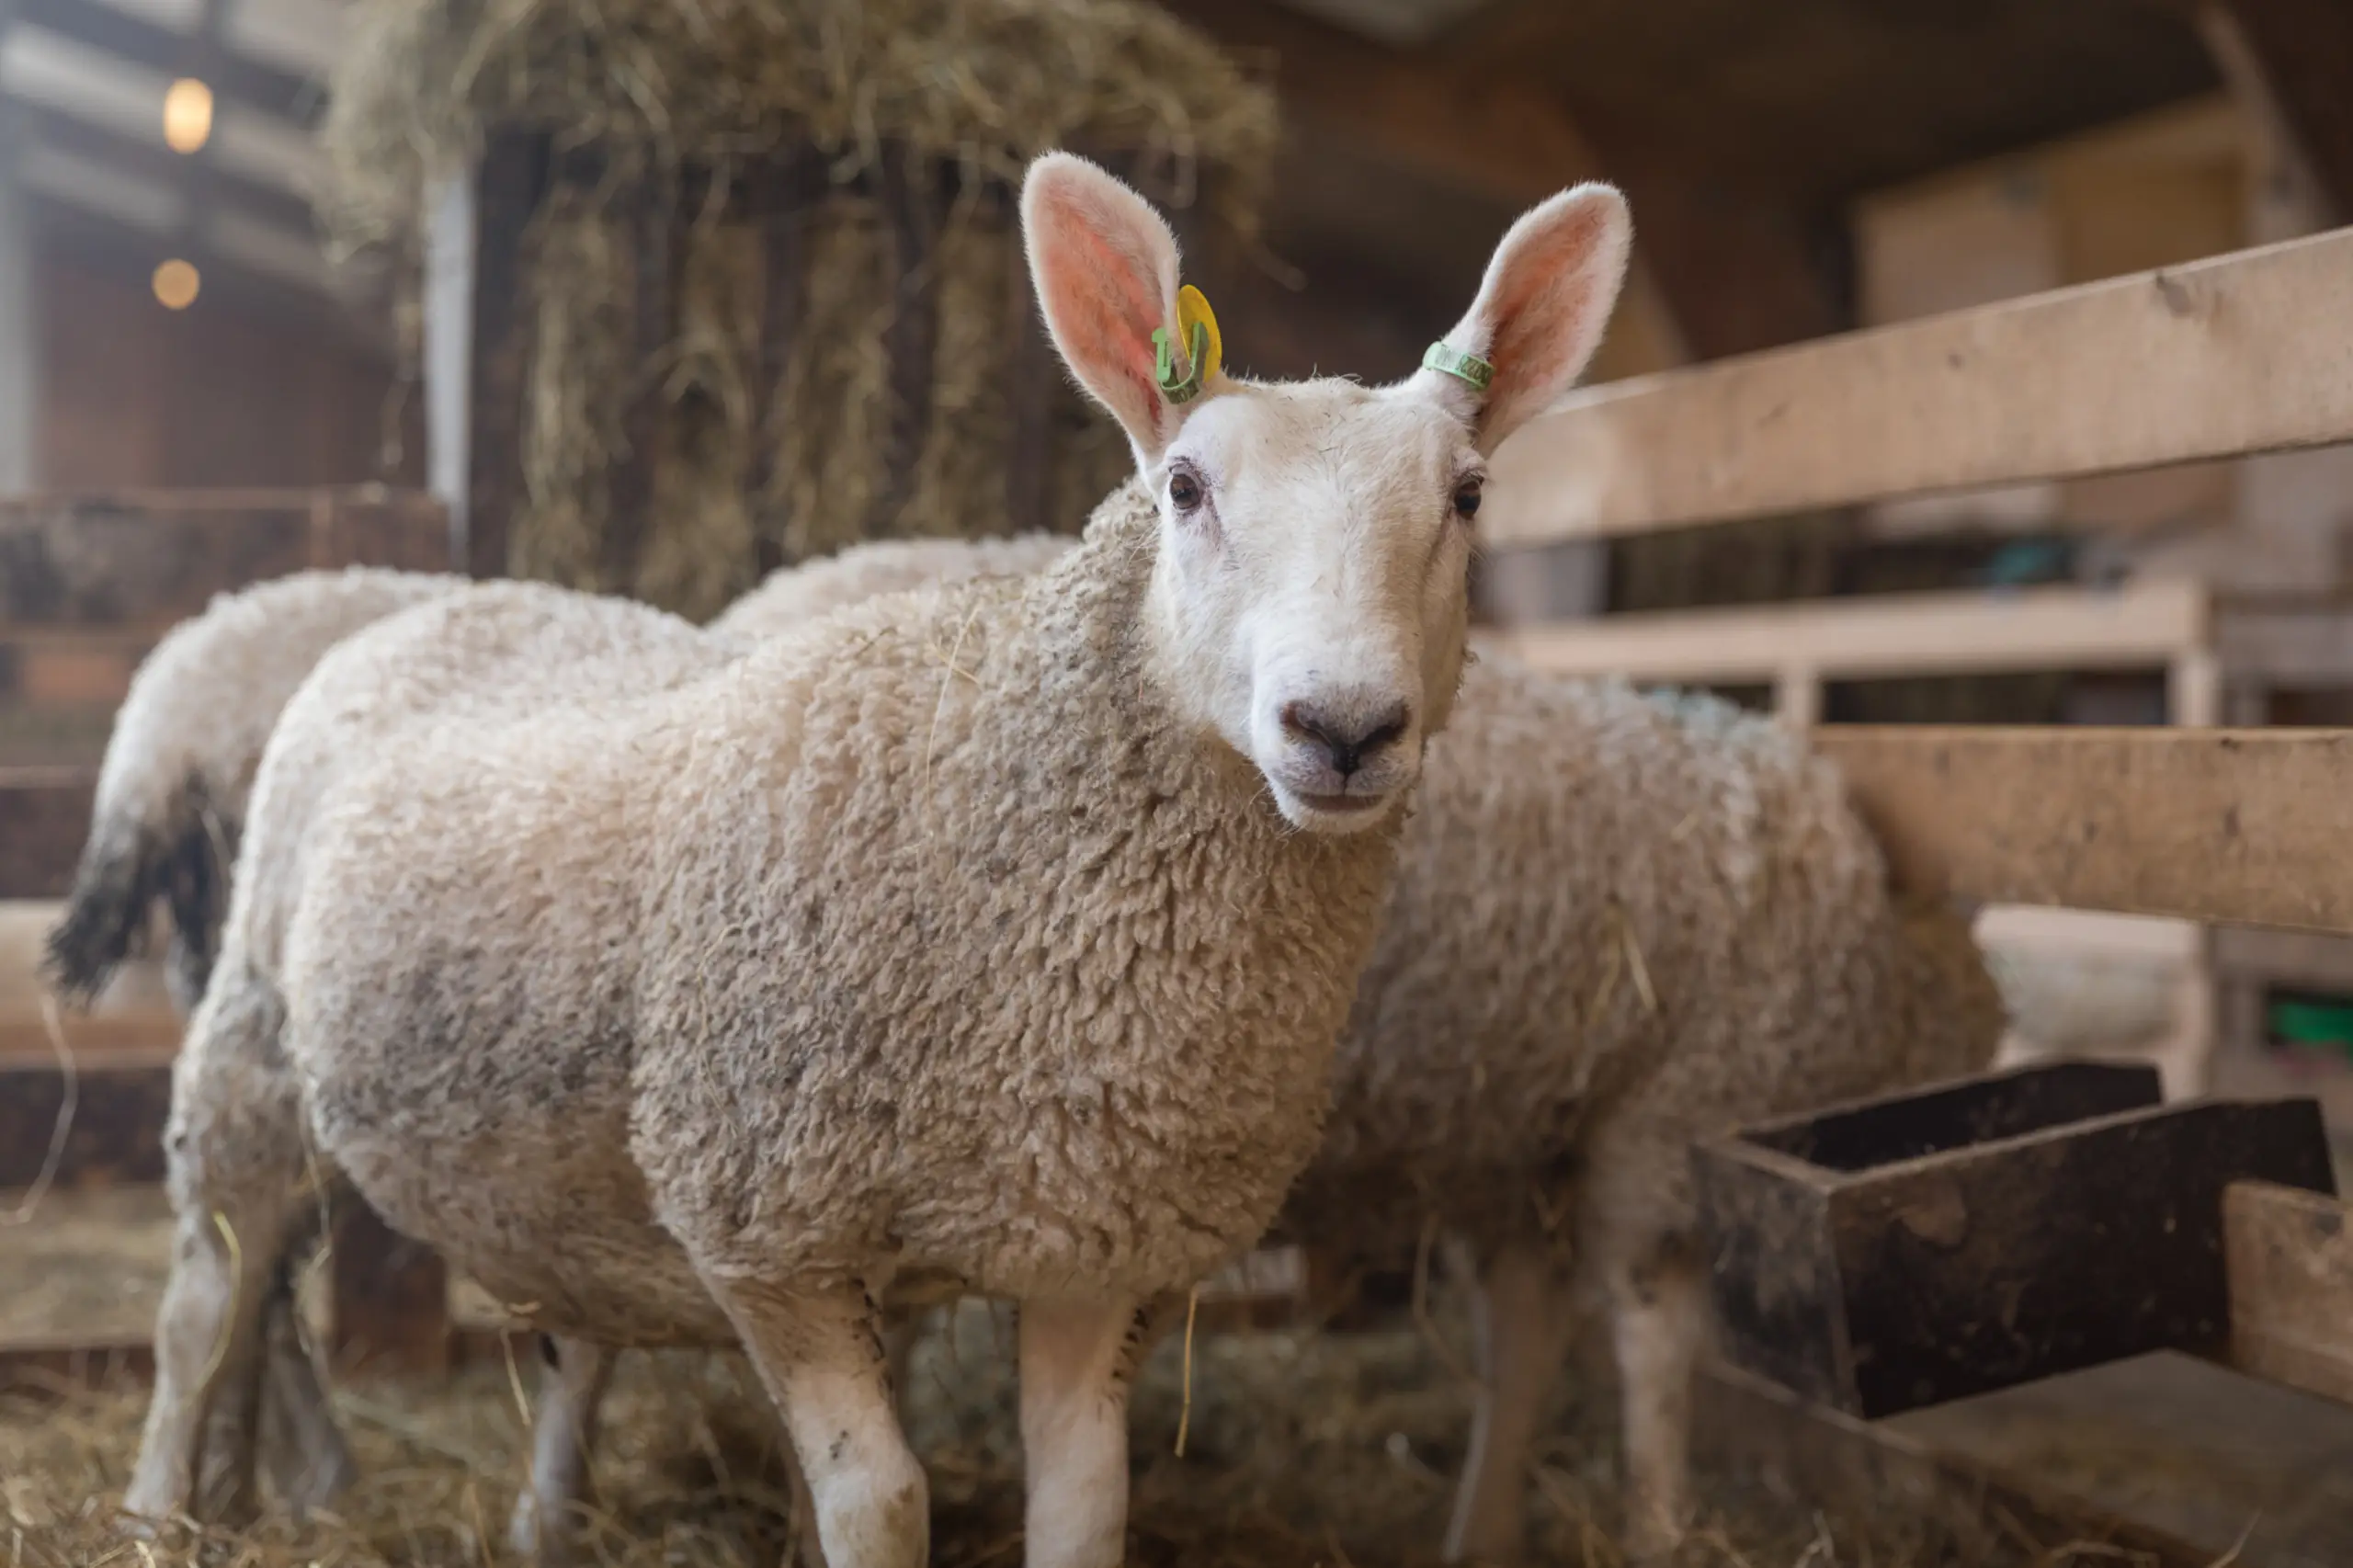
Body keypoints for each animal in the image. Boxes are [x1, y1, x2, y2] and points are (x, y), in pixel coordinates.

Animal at [122, 149, 1634, 1568]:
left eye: (1469, 494)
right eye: (1185, 486)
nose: (1344, 725)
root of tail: (434, 602)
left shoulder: (1093, 1230)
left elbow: (1083, 1501)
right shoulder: (764, 1217)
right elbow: (883, 1495)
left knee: (461, 1326)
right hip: (252, 1045)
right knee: (204, 1300)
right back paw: (159, 1505)